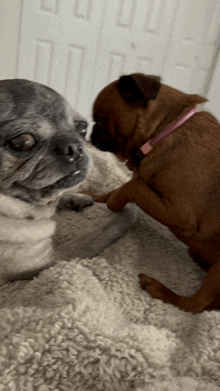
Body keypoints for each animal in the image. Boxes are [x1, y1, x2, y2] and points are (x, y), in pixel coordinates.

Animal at [85, 73, 220, 316]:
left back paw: (159, 289)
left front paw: (113, 204)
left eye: (100, 121)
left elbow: (131, 188)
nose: (90, 135)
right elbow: (121, 187)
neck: (165, 131)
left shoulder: (181, 214)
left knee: (195, 306)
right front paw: (92, 196)